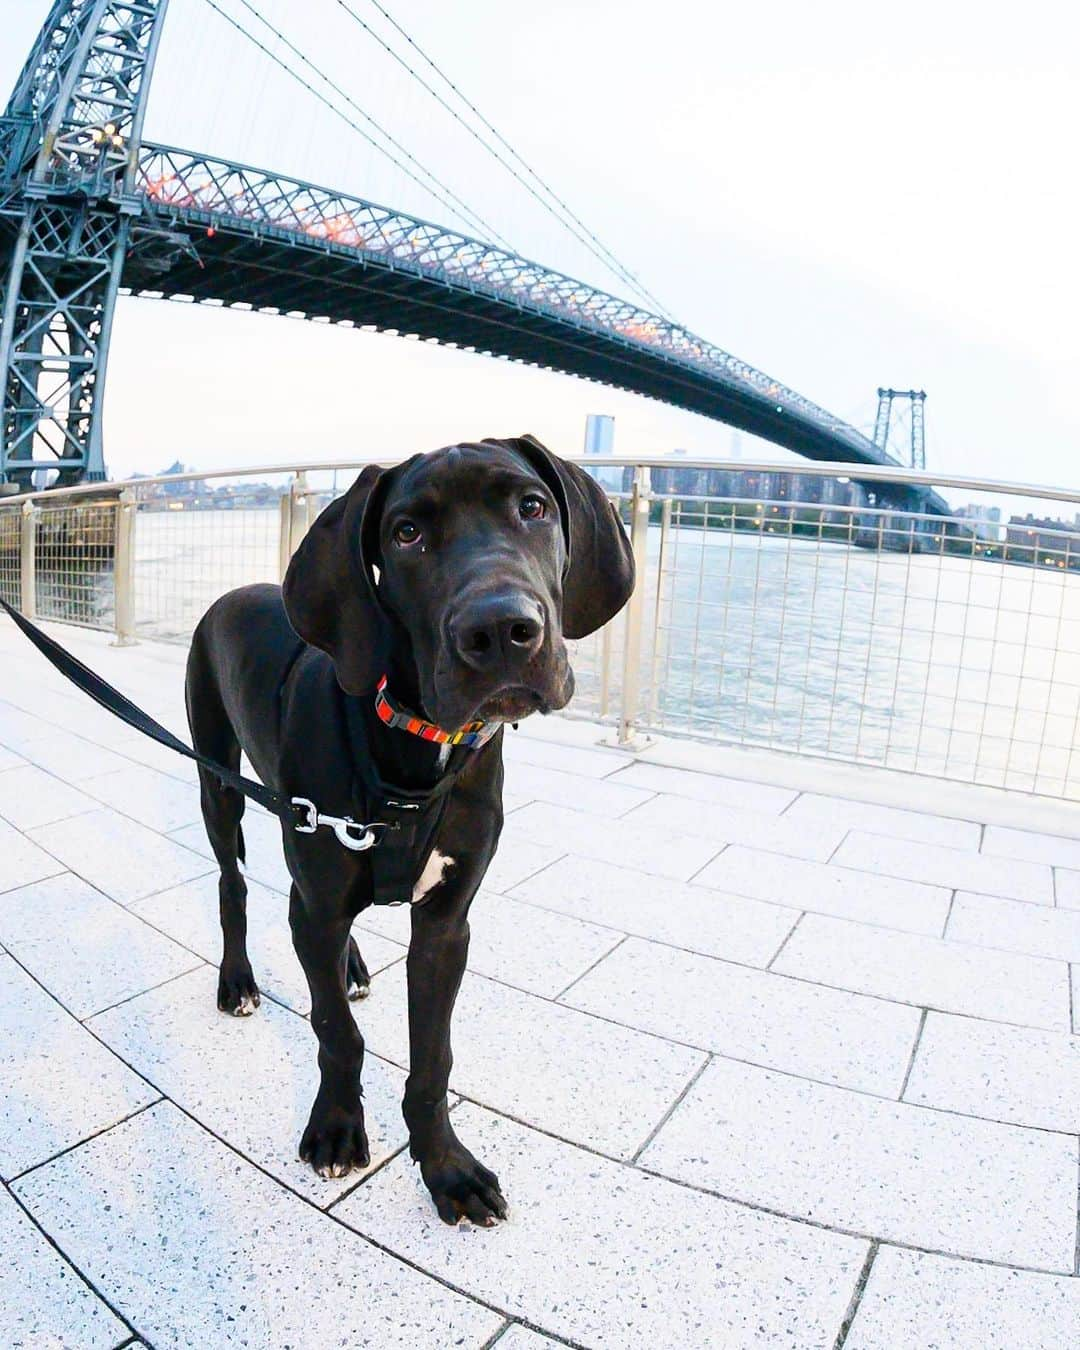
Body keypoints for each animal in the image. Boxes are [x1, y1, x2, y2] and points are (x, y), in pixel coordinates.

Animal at [180, 434, 629, 1225]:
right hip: (219, 782)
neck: (416, 747)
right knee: (234, 884)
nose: (500, 631)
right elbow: (335, 1031)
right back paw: (238, 980)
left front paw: (446, 1166)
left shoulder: (446, 922)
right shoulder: (318, 894)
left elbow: (433, 1057)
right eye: (407, 533)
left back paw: (352, 966)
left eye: (533, 507)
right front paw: (336, 1126)